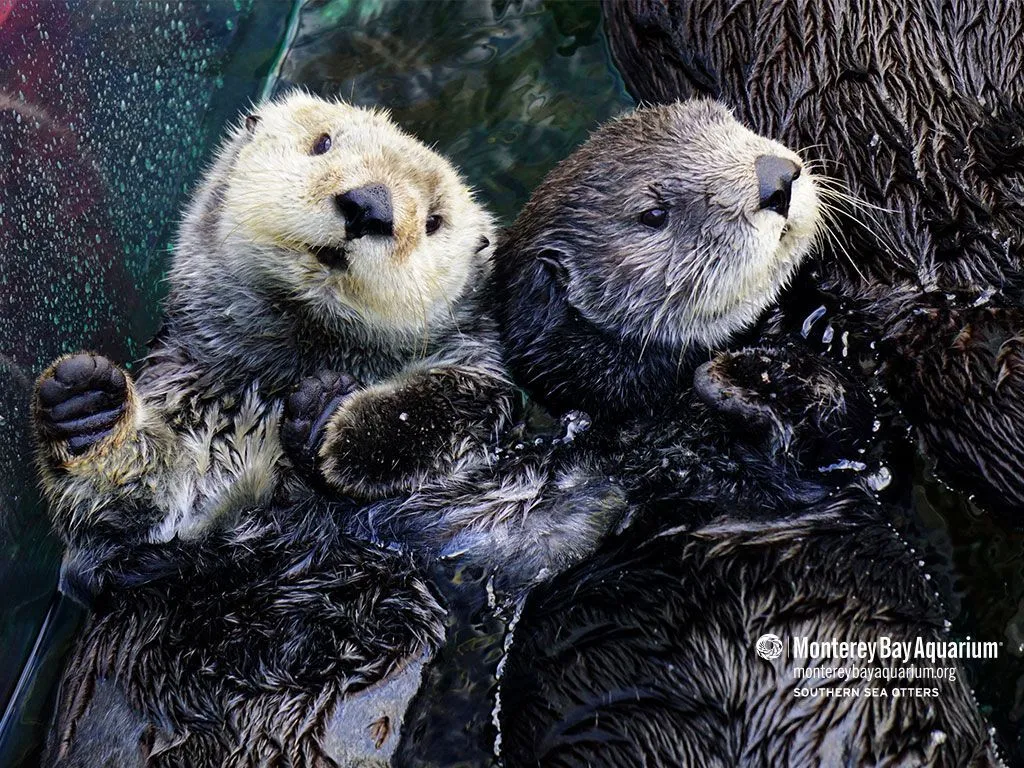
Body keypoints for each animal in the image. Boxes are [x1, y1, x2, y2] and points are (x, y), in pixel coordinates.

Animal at [481, 101, 1002, 766]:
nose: (776, 178)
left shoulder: (874, 443)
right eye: (653, 214)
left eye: (726, 120)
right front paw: (729, 371)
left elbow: (856, 422)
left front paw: (769, 355)